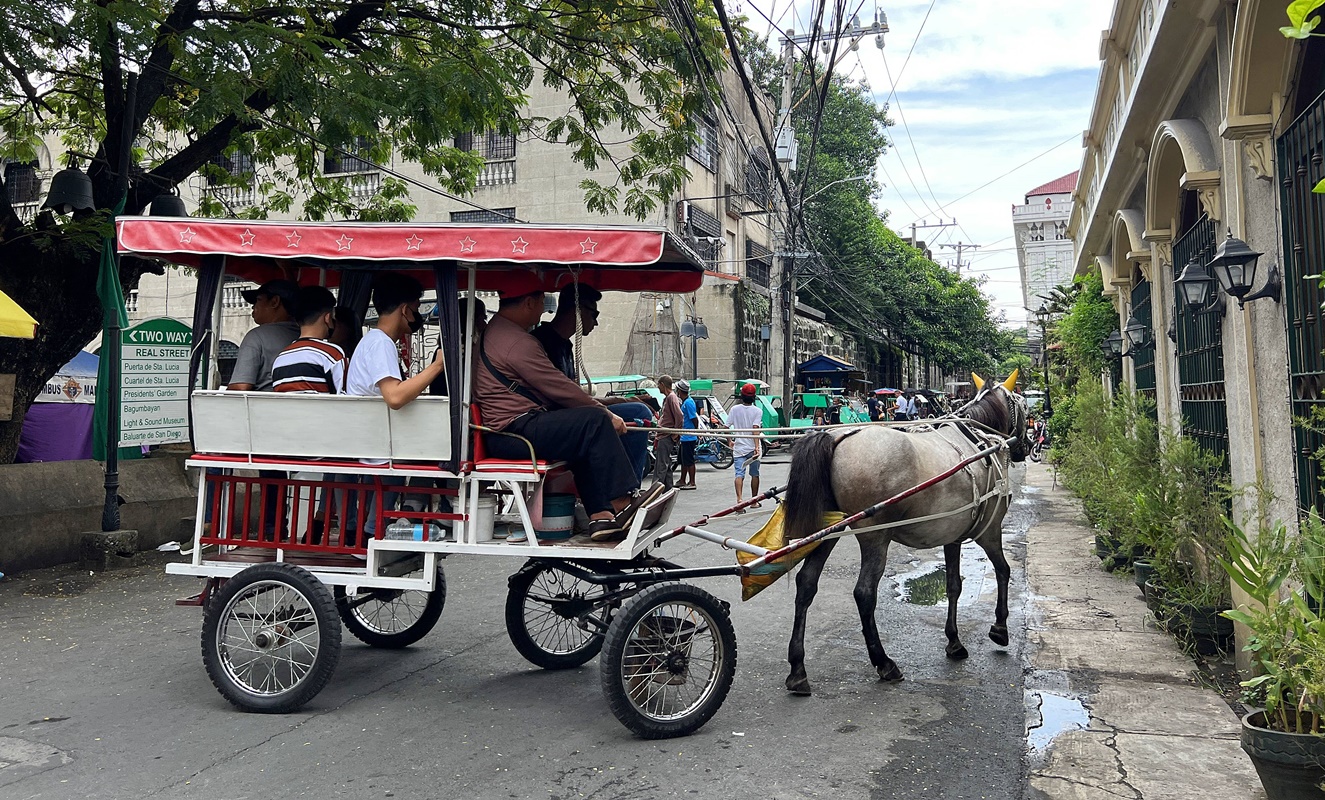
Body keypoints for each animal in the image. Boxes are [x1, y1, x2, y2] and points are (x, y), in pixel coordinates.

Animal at [779, 373, 1028, 694]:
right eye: (1022, 404)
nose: (1026, 445)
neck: (977, 440)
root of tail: (836, 437)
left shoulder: (953, 534)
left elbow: (953, 586)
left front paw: (954, 641)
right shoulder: (990, 530)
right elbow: (1003, 570)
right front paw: (1000, 628)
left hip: (828, 529)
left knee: (806, 584)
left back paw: (798, 668)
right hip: (875, 534)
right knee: (864, 592)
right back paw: (884, 662)